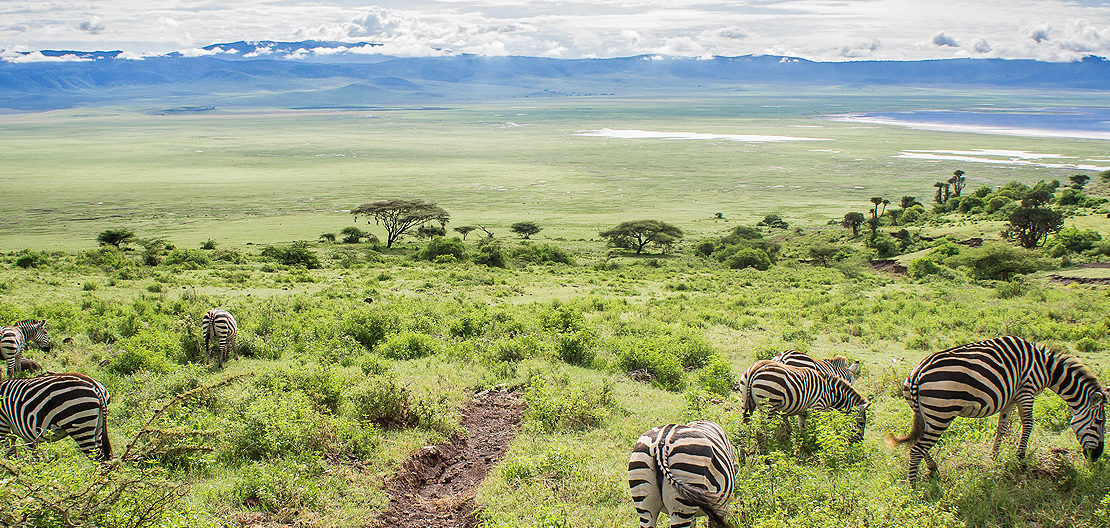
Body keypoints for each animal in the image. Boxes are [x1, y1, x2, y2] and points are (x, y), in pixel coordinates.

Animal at [740, 360, 870, 438]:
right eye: (861, 423)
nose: (859, 441)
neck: (832, 393)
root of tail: (755, 370)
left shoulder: (803, 411)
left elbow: (802, 427)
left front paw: (803, 443)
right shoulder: (818, 407)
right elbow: (819, 425)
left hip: (746, 400)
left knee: (746, 423)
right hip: (769, 404)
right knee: (764, 427)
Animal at [890, 336, 1107, 485]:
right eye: (1099, 423)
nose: (1096, 456)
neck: (1046, 368)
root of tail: (917, 373)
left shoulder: (1010, 398)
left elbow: (1002, 428)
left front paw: (994, 457)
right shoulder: (1026, 390)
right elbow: (1028, 424)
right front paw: (1021, 459)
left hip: (925, 414)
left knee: (918, 443)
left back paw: (933, 470)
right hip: (941, 414)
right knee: (917, 449)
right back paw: (915, 490)